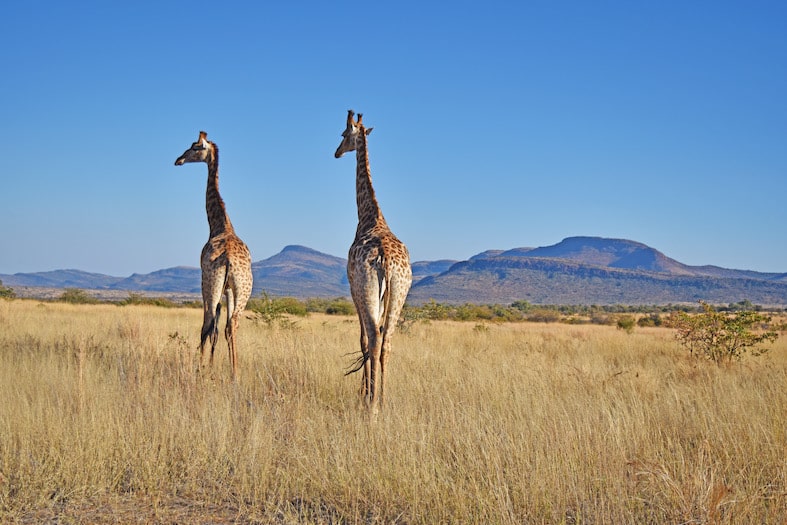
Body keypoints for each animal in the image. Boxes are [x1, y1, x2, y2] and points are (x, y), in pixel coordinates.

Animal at [174, 131, 253, 381]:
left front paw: (206, 367)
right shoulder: (228, 290)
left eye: (195, 147)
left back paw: (199, 368)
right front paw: (216, 366)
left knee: (207, 323)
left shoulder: (209, 282)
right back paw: (235, 374)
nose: (178, 160)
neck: (220, 225)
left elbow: (211, 328)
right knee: (232, 325)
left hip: (210, 283)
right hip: (243, 288)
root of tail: (228, 259)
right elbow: (220, 329)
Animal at [334, 110, 412, 412]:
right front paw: (368, 391)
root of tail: (387, 262)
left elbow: (363, 339)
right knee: (387, 341)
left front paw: (363, 393)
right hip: (399, 293)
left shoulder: (354, 288)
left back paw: (373, 405)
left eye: (344, 134)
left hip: (368, 290)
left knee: (375, 338)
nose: (336, 152)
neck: (370, 216)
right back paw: (383, 399)